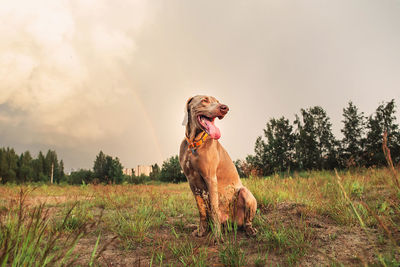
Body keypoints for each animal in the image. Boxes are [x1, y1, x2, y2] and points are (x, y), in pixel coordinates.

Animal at [180, 96, 258, 239]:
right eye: (204, 100)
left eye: (217, 101)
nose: (225, 108)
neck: (194, 144)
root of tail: (232, 223)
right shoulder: (191, 182)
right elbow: (201, 211)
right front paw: (201, 231)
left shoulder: (210, 178)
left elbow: (215, 209)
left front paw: (216, 237)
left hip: (245, 193)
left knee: (247, 221)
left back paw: (249, 230)